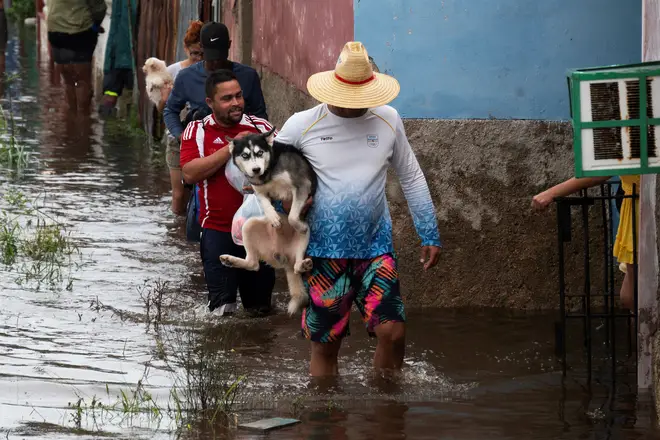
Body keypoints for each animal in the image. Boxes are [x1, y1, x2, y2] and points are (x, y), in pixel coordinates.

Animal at [219, 128, 318, 316]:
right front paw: (273, 216)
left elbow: (292, 216)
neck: (269, 171)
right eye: (245, 155)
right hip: (249, 226)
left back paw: (304, 263)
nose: (256, 169)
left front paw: (297, 224)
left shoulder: (302, 185)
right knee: (253, 264)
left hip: (305, 238)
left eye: (259, 153)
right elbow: (265, 202)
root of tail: (284, 257)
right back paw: (230, 260)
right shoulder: (258, 190)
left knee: (297, 265)